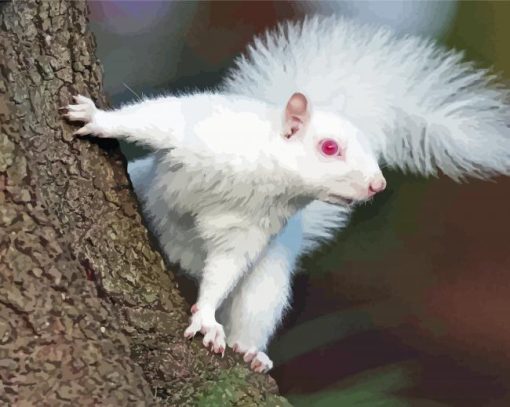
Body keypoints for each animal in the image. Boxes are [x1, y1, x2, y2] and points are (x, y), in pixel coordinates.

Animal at [62, 15, 510, 374]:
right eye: (329, 147)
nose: (377, 185)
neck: (267, 175)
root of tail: (178, 258)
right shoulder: (199, 127)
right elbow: (154, 119)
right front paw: (95, 117)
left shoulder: (249, 232)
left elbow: (225, 269)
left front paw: (207, 318)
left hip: (269, 278)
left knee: (251, 309)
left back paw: (250, 351)